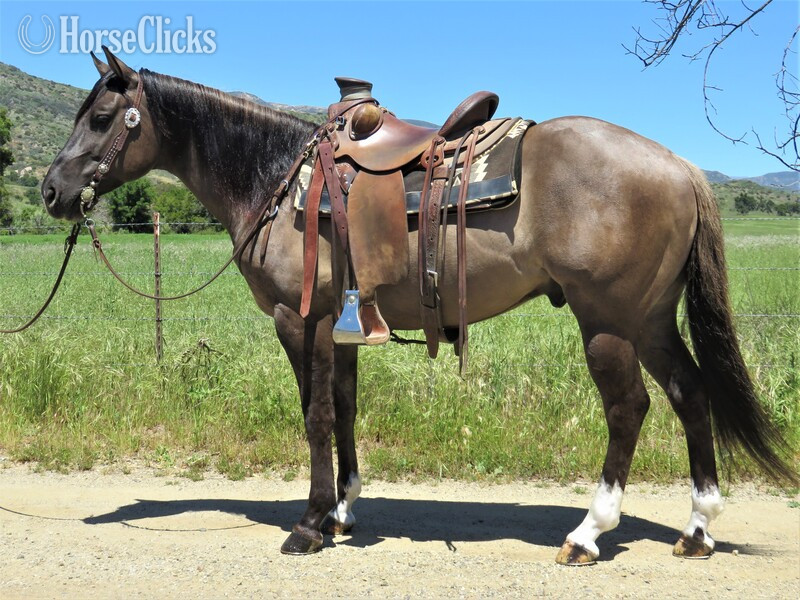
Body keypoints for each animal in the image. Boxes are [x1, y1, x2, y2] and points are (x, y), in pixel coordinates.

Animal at [42, 48, 795, 565]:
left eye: (102, 118)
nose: (52, 191)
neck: (276, 178)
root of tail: (678, 165)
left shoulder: (300, 320)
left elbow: (315, 416)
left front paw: (310, 525)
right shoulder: (341, 325)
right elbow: (344, 410)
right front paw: (344, 512)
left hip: (607, 320)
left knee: (628, 409)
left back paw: (588, 533)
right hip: (650, 319)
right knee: (690, 395)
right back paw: (697, 528)